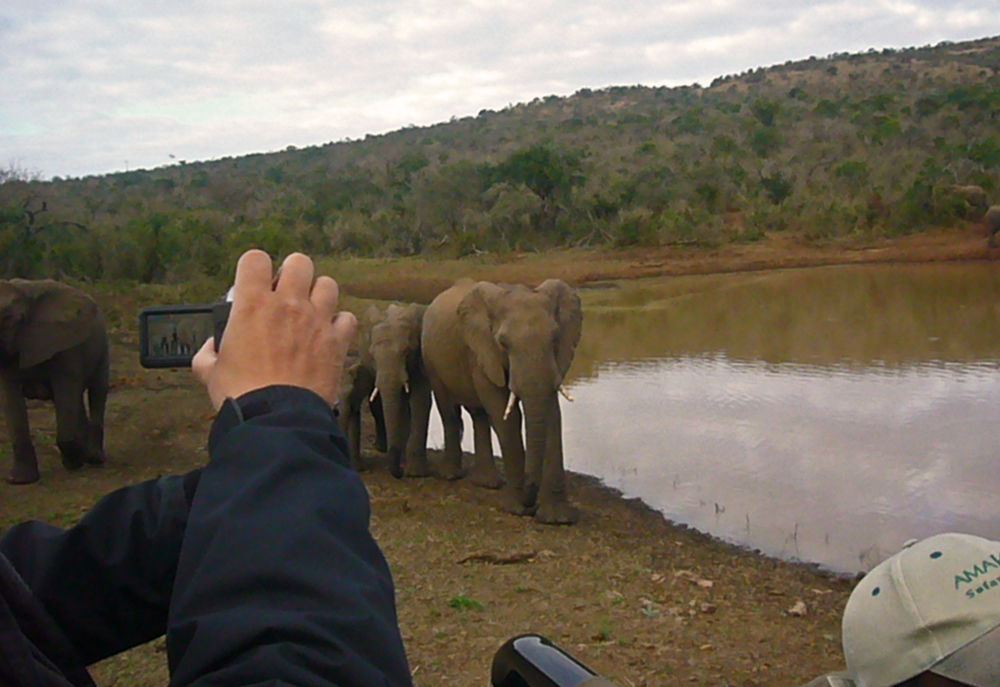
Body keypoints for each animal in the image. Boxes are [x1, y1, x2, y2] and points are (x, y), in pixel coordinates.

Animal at [0, 278, 110, 484]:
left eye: (9, 318)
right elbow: (10, 399)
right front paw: (19, 479)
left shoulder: (64, 342)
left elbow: (66, 389)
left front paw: (76, 459)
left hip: (102, 345)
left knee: (97, 392)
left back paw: (94, 457)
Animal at [422, 276, 584, 524]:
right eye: (503, 343)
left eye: (556, 338)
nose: (530, 502)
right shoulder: (481, 350)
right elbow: (505, 414)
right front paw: (516, 509)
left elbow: (551, 413)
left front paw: (557, 519)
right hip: (431, 359)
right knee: (449, 411)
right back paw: (451, 476)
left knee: (478, 415)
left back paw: (487, 483)